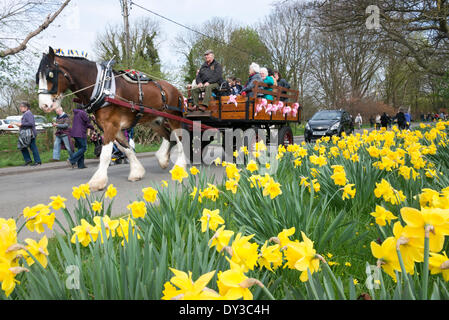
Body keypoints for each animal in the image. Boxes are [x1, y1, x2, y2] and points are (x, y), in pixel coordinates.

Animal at [35, 46, 187, 191]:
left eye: (50, 75)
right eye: (37, 77)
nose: (44, 105)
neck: (102, 88)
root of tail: (176, 90)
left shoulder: (111, 126)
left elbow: (105, 155)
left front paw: (97, 182)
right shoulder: (112, 127)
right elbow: (126, 149)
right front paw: (136, 172)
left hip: (174, 118)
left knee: (179, 139)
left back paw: (180, 166)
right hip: (155, 121)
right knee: (168, 136)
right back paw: (162, 159)